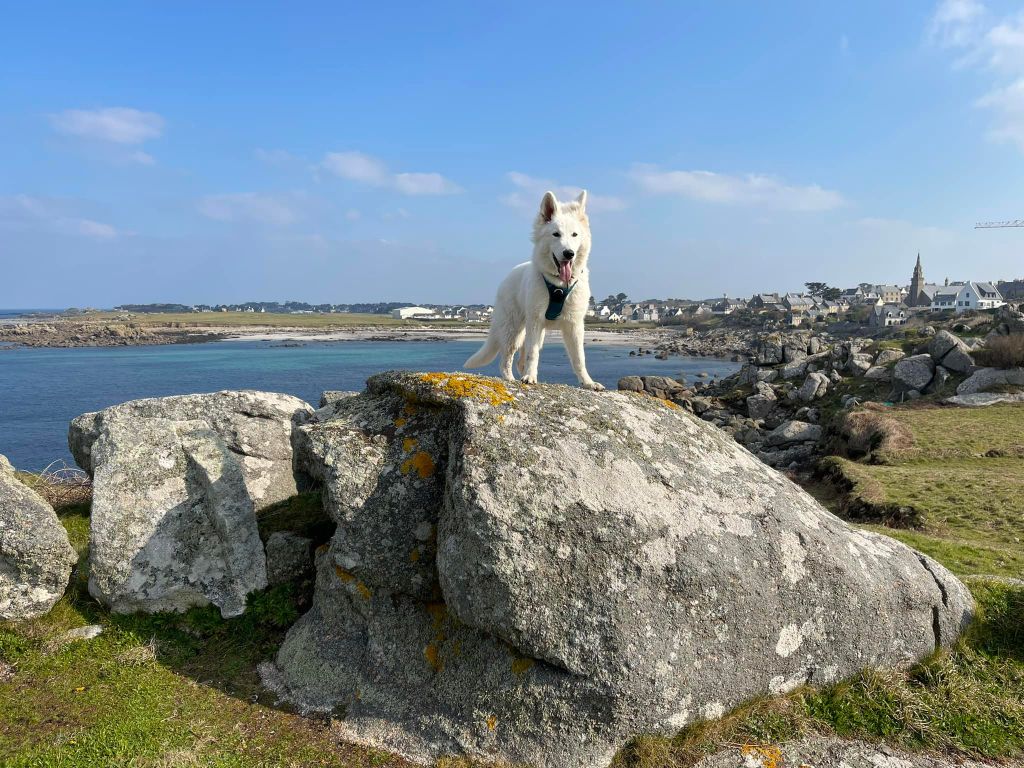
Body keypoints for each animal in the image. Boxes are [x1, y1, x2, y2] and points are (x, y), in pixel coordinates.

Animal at [462, 187, 598, 391]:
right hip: (514, 331)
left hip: (532, 333)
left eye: (574, 235)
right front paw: (530, 377)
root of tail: (508, 275)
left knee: (520, 361)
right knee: (506, 359)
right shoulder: (536, 321)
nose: (569, 254)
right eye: (556, 234)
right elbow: (533, 354)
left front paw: (588, 382)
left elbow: (579, 358)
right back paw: (510, 379)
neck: (559, 286)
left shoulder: (574, 326)